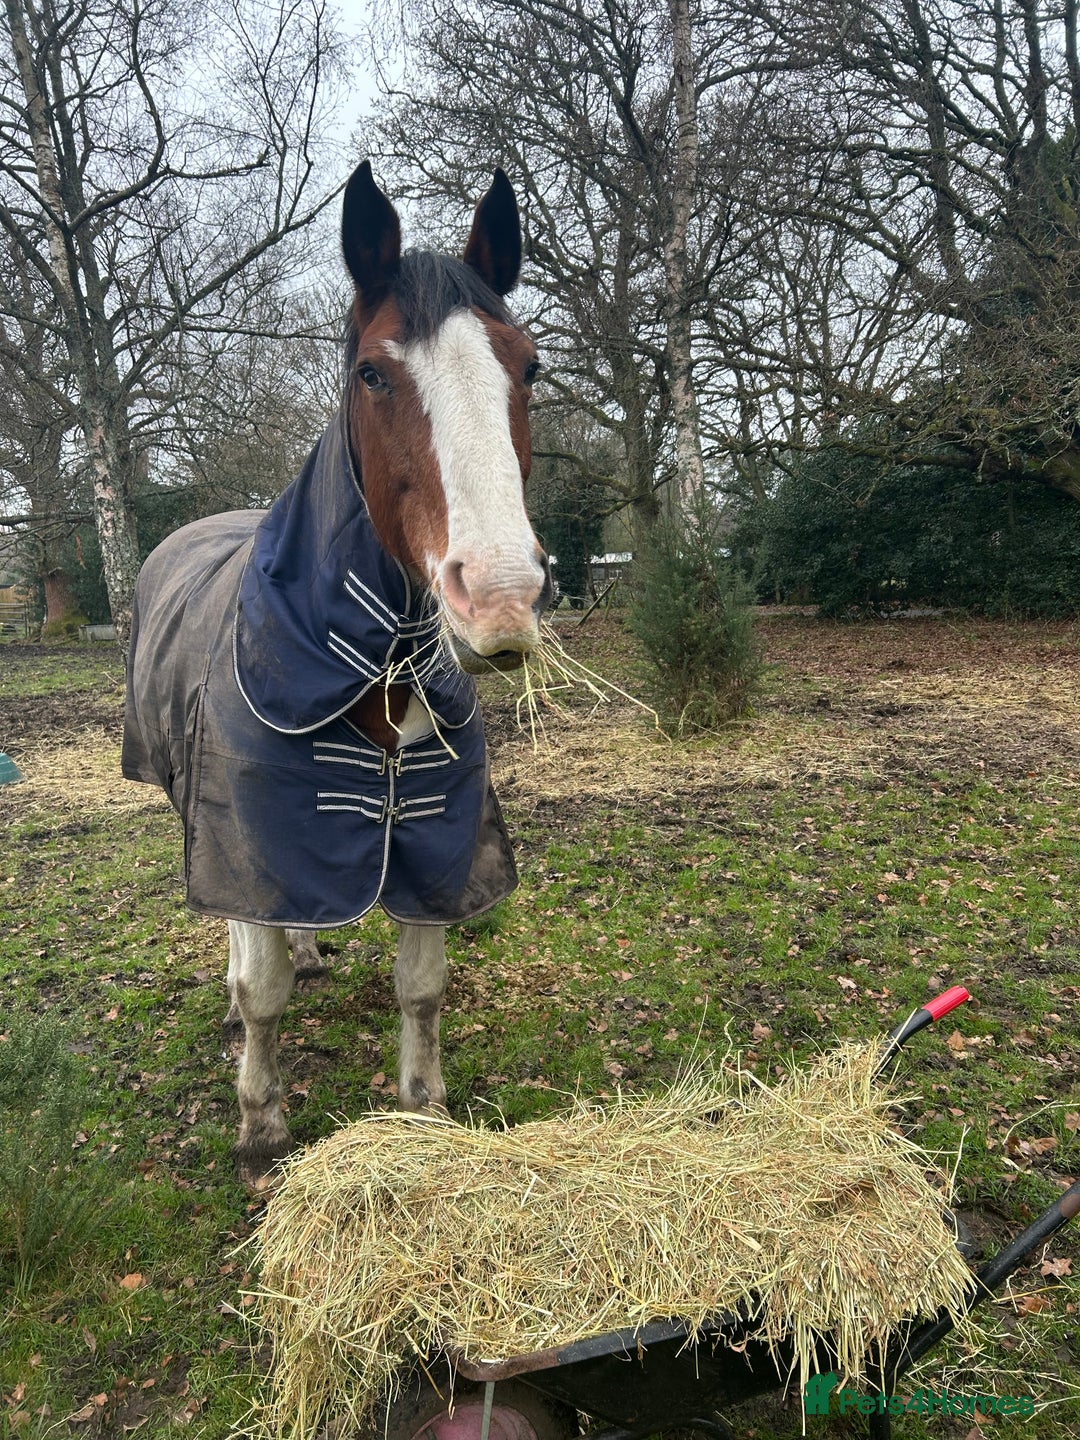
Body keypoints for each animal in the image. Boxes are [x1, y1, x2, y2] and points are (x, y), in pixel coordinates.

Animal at [122, 161, 550, 1185]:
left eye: (528, 367)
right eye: (373, 373)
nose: (502, 598)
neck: (369, 666)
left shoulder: (435, 838)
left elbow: (423, 984)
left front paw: (423, 1104)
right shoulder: (243, 834)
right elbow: (263, 988)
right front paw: (261, 1124)